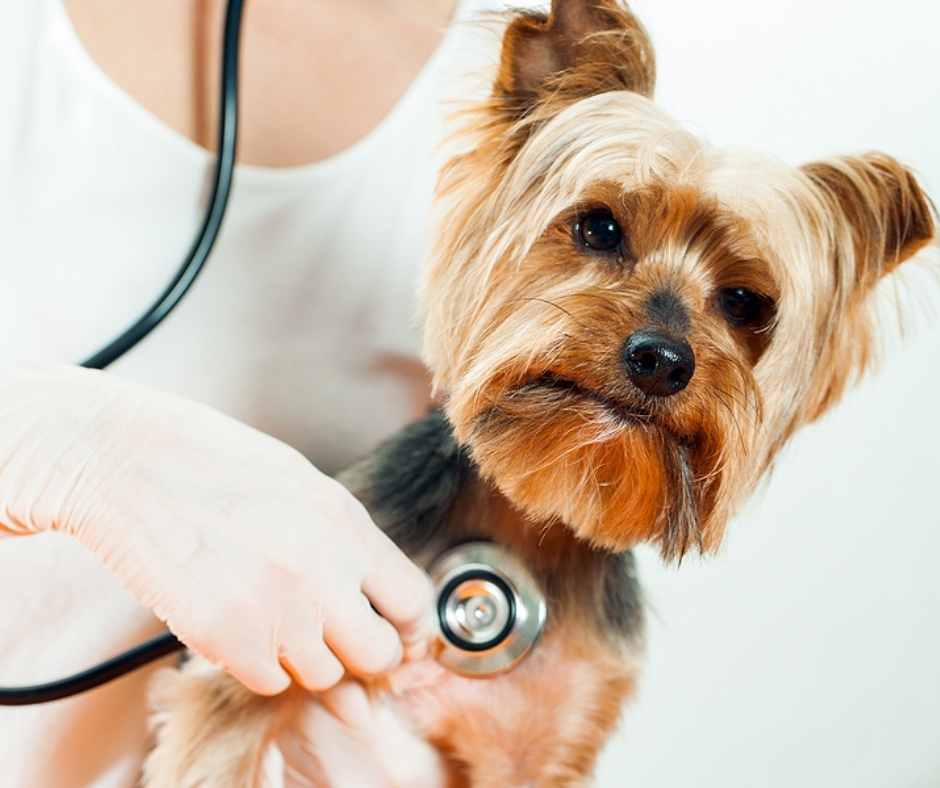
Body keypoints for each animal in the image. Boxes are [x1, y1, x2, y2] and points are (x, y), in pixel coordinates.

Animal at [138, 3, 932, 784]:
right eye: (600, 227)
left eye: (744, 302)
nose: (660, 359)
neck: (533, 513)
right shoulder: (270, 656)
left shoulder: (543, 738)